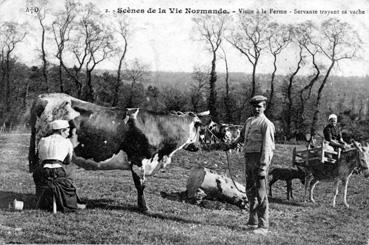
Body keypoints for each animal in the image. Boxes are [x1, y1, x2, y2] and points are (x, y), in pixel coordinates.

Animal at [28, 93, 207, 212]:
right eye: (199, 128)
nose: (198, 146)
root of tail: (44, 96)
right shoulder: (138, 160)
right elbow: (140, 185)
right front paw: (144, 207)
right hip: (40, 151)